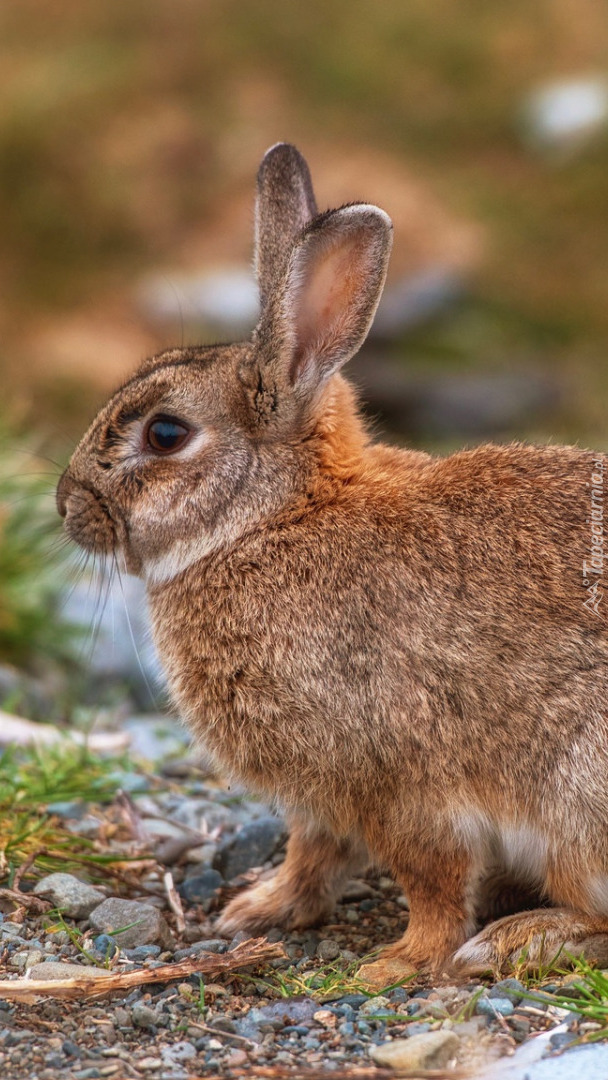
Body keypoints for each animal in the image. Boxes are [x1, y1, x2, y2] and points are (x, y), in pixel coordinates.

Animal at [59, 143, 608, 989]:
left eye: (166, 433)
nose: (65, 506)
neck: (275, 519)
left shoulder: (400, 782)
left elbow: (432, 880)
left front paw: (400, 964)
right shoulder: (322, 795)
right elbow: (313, 853)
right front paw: (258, 909)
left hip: (579, 798)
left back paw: (518, 939)